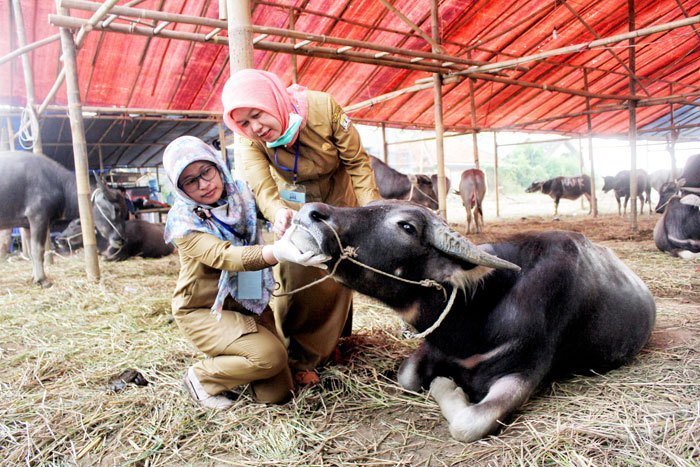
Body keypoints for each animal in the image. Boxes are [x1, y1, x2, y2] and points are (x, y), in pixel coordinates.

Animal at [0, 152, 129, 288]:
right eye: (116, 209)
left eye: (125, 212)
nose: (121, 240)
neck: (57, 184)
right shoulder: (38, 218)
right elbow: (38, 250)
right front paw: (42, 279)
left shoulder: (27, 225)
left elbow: (31, 251)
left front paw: (34, 278)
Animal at [290, 200, 656, 442]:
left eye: (406, 226)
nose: (310, 212)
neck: (478, 314)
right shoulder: (435, 346)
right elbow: (407, 377)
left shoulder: (524, 369)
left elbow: (467, 425)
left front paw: (444, 383)